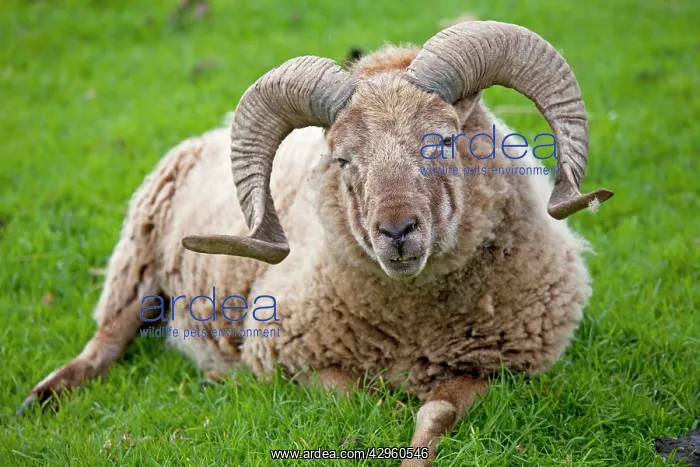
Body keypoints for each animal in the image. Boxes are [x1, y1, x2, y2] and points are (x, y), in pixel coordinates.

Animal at [21, 20, 613, 465]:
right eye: (343, 158)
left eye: (444, 141)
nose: (396, 232)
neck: (417, 328)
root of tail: (208, 134)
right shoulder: (288, 355)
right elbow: (365, 397)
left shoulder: (503, 371)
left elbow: (439, 412)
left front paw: (417, 450)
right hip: (135, 264)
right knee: (103, 345)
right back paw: (40, 400)